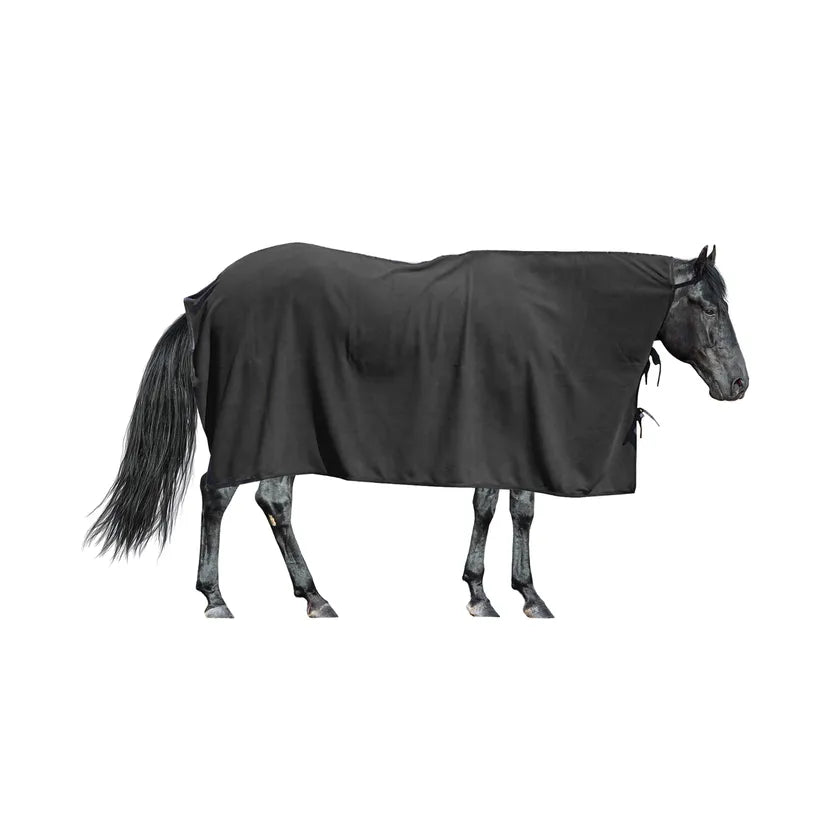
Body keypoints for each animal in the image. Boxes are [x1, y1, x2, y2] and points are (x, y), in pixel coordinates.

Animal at [86, 243, 748, 619]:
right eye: (707, 305)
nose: (739, 384)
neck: (550, 313)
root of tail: (209, 296)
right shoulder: (498, 428)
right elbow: (497, 507)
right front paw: (492, 596)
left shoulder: (517, 433)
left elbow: (513, 508)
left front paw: (514, 594)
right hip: (259, 420)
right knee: (229, 494)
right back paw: (236, 598)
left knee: (263, 499)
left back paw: (298, 596)